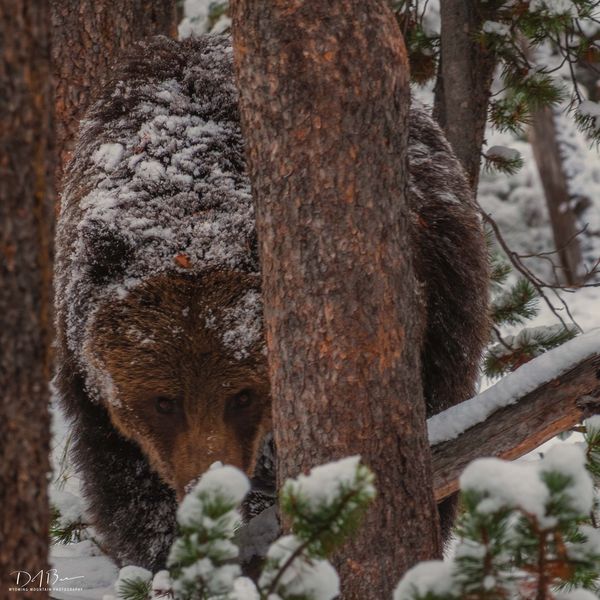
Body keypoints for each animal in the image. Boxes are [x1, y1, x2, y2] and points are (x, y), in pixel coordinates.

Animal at [54, 32, 490, 572]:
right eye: (164, 401)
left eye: (242, 396)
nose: (209, 493)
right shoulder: (86, 366)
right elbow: (124, 481)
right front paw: (162, 554)